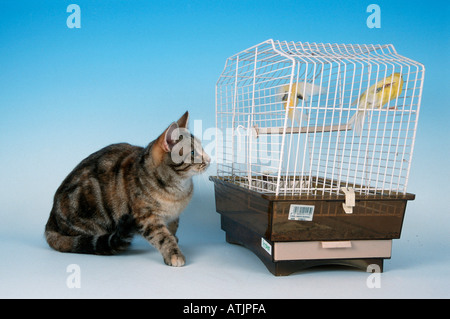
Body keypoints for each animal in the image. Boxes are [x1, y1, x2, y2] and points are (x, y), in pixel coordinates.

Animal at [44, 112, 209, 268]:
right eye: (193, 153)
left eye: (202, 148)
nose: (209, 159)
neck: (179, 189)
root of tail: (51, 221)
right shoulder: (146, 218)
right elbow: (163, 237)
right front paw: (173, 253)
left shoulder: (173, 216)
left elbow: (173, 228)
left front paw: (175, 239)